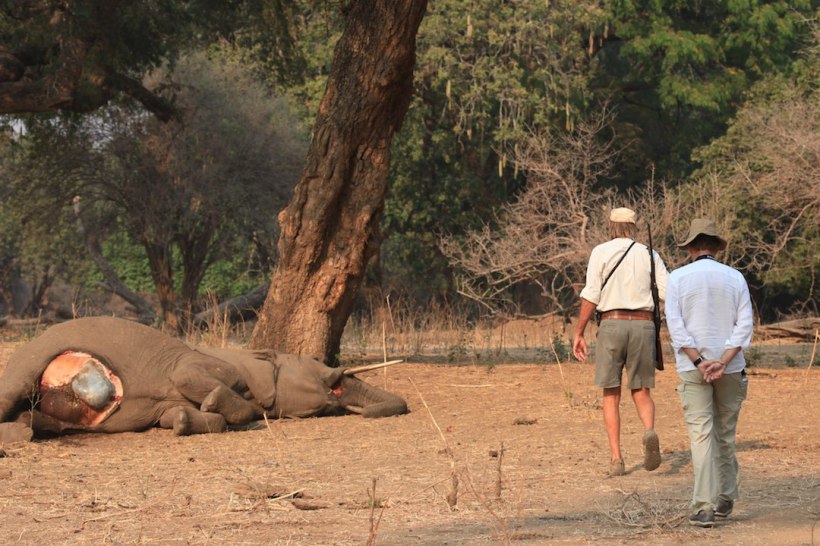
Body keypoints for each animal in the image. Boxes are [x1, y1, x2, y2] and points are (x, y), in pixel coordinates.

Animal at [0, 317, 408, 443]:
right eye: (324, 369)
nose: (360, 411)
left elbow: (175, 415)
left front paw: (183, 422)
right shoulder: (204, 363)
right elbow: (199, 382)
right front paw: (215, 403)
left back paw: (24, 431)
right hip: (27, 363)